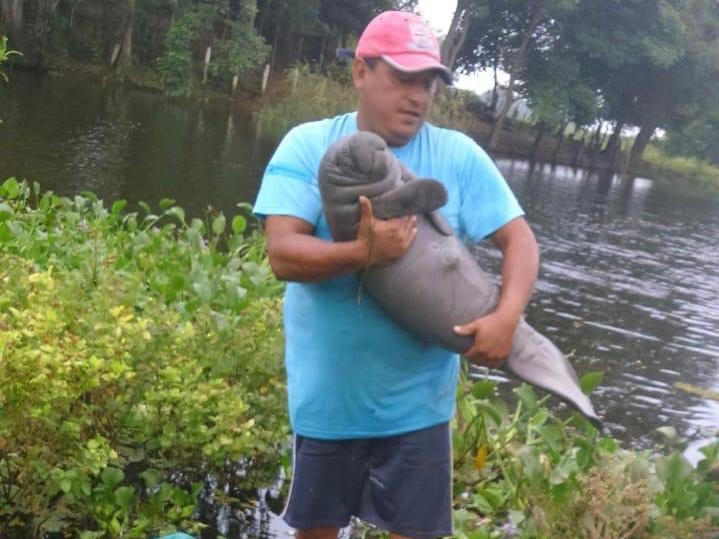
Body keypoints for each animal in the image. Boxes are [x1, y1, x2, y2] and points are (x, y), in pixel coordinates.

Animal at [320, 132, 600, 430]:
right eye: (344, 159)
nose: (368, 139)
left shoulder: (403, 174)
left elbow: (426, 197)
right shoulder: (363, 208)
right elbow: (407, 197)